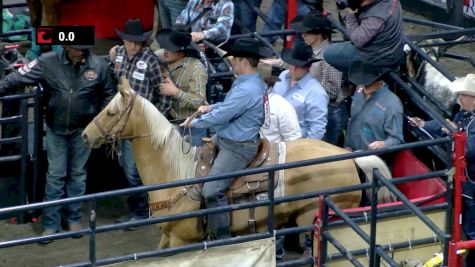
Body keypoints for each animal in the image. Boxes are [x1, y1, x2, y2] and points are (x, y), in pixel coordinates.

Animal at [82, 77, 398, 249]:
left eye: (110, 112)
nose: (85, 135)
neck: (175, 173)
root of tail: (347, 155)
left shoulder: (182, 239)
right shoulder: (168, 238)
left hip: (313, 220)